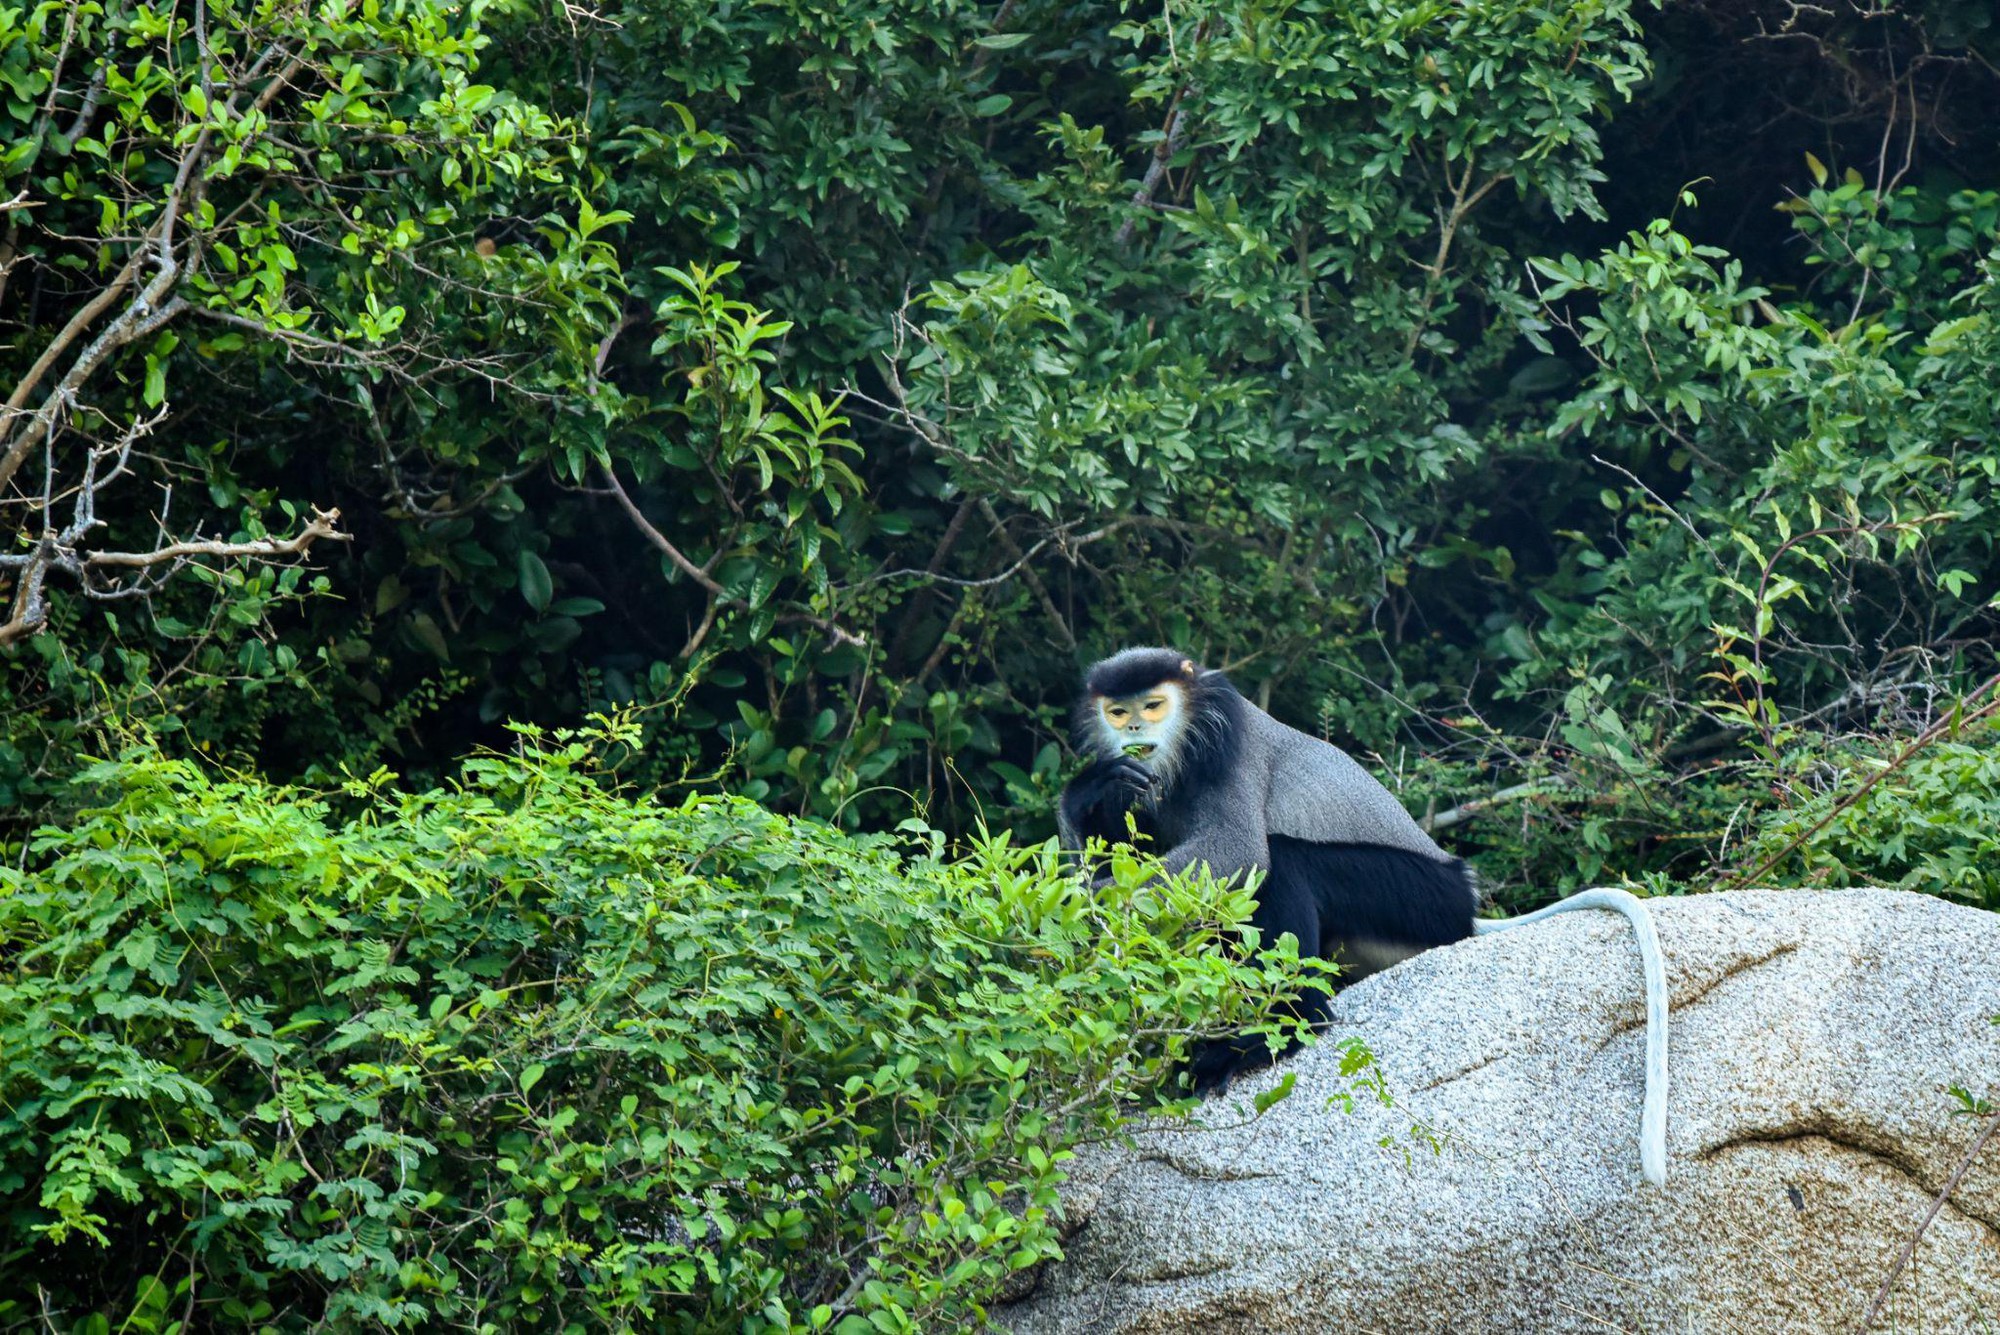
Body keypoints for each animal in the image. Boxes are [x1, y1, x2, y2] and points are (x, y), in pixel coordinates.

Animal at [1064, 651, 1672, 1183]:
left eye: (1154, 705)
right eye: (1117, 710)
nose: (1133, 729)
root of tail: (1466, 901)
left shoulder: (1225, 736)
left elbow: (1240, 850)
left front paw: (1093, 904)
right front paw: (1088, 797)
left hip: (1422, 900)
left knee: (1284, 861)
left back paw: (1287, 1025)